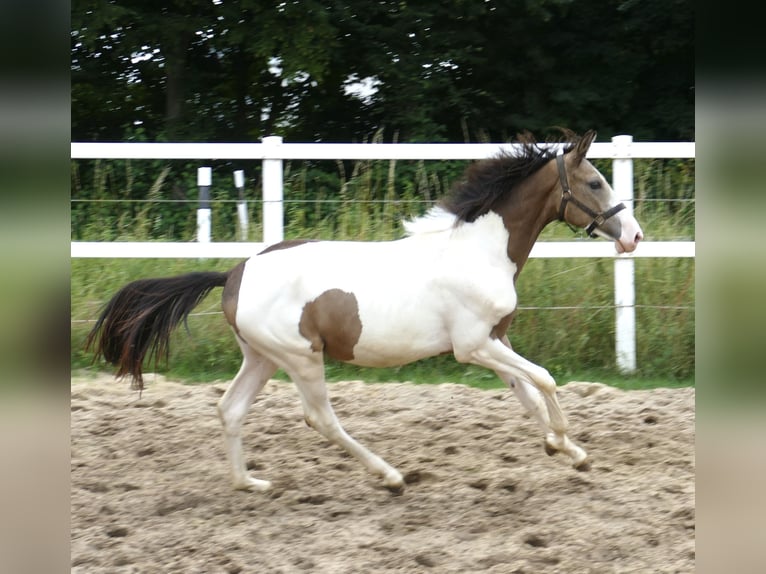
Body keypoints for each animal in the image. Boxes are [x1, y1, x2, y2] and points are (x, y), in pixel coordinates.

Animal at [86, 130, 643, 493]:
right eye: (595, 183)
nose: (634, 236)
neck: (479, 250)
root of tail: (234, 274)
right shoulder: (473, 347)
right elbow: (545, 379)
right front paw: (564, 443)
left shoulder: (496, 340)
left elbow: (527, 395)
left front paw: (568, 452)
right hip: (302, 358)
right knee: (319, 418)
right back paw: (391, 476)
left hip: (262, 358)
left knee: (230, 409)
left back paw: (251, 483)